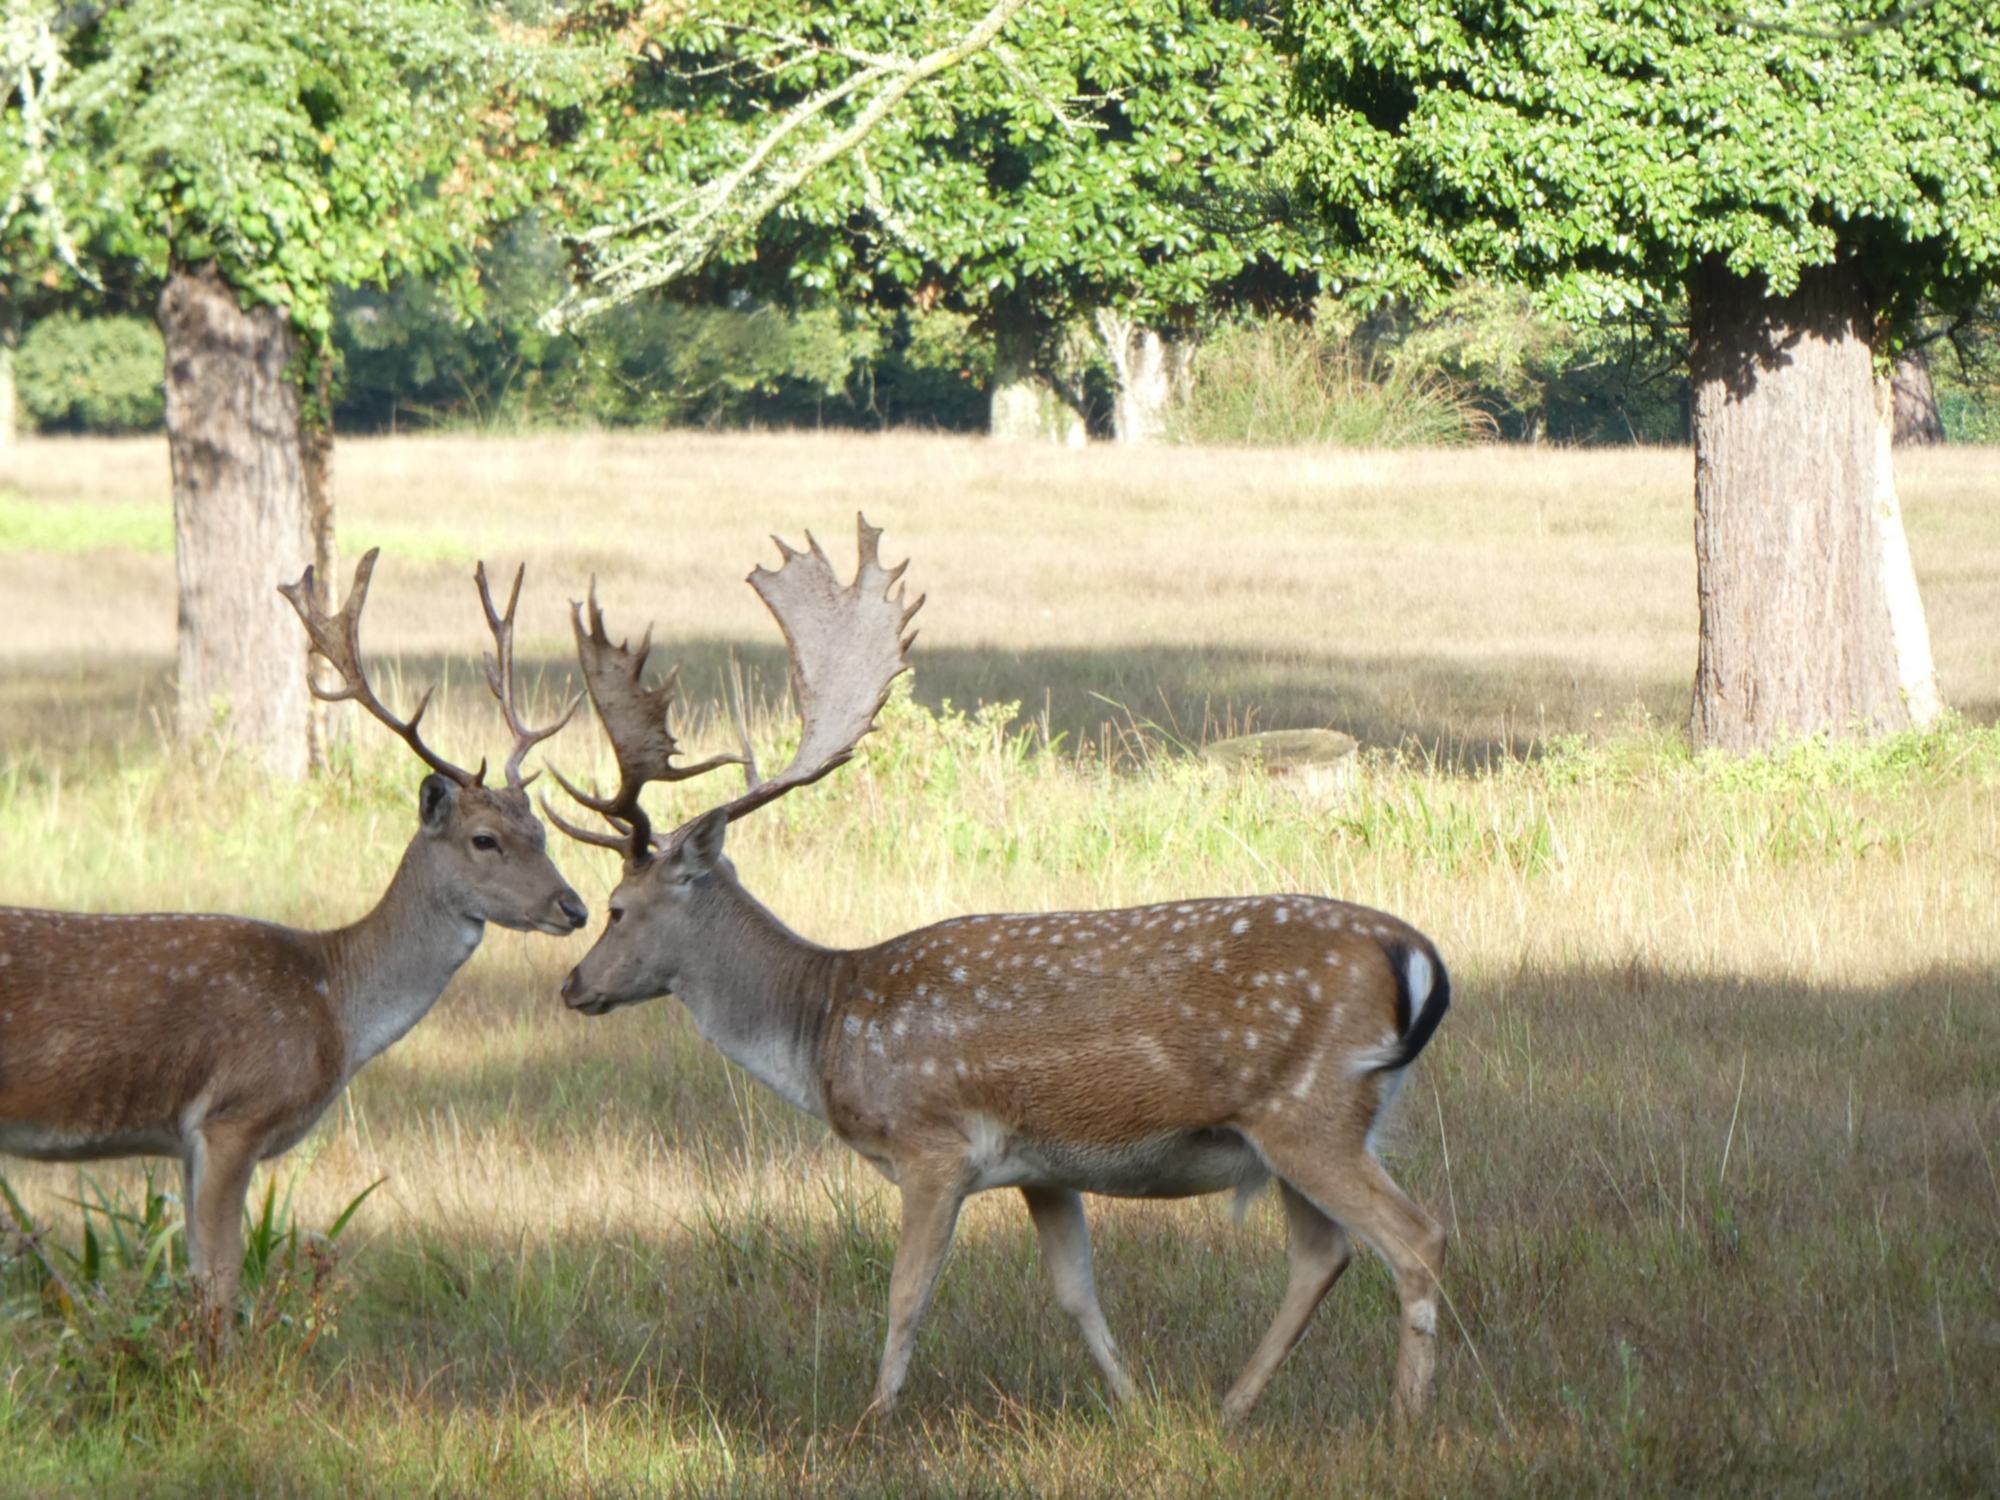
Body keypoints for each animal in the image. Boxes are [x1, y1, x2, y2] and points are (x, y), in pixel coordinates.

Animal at [0, 552, 588, 1312]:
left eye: (542, 831)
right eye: (484, 839)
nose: (574, 907)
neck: (335, 1001)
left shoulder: (187, 1143)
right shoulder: (234, 1114)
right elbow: (220, 1289)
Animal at [552, 524, 1456, 1424]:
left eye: (617, 908)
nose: (573, 984)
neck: (824, 1026)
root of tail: (1420, 960)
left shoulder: (931, 1143)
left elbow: (906, 1293)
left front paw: (873, 1419)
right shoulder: (1044, 1169)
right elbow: (1076, 1293)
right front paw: (1133, 1406)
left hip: (1312, 1109)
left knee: (1416, 1236)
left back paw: (1405, 1418)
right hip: (1301, 1128)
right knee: (1323, 1253)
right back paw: (1232, 1408)